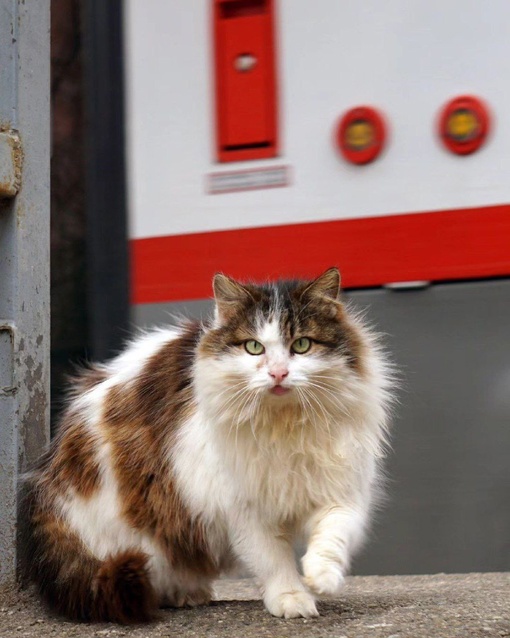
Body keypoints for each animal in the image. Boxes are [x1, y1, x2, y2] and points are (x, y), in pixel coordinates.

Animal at [26, 268, 394, 624]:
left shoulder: (340, 490)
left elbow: (333, 533)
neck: (284, 426)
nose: (278, 373)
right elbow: (272, 559)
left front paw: (321, 577)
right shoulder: (244, 506)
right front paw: (291, 597)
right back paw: (179, 594)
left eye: (301, 345)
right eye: (253, 347)